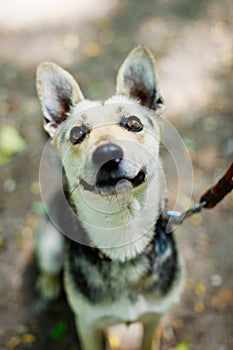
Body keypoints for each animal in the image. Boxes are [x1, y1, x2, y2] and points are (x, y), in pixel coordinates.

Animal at [35, 46, 184, 350]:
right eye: (77, 134)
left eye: (133, 123)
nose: (107, 154)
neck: (124, 238)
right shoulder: (89, 326)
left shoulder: (153, 319)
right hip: (49, 245)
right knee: (49, 265)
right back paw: (50, 283)